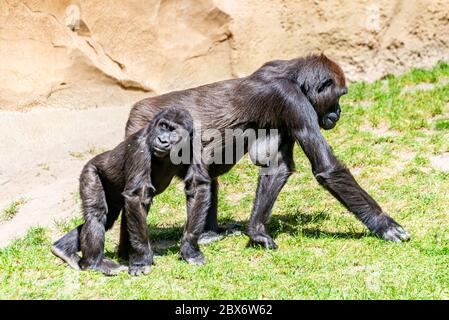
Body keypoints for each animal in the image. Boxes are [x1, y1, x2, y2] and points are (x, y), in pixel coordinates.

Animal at [51, 107, 196, 276]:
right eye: (163, 126)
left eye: (174, 131)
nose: (162, 140)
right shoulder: (139, 148)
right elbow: (137, 197)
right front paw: (142, 261)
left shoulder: (191, 146)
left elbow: (194, 187)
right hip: (90, 171)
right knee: (97, 215)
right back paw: (95, 263)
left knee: (111, 218)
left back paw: (63, 250)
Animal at [124, 54, 408, 262]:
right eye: (338, 96)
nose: (339, 112)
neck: (293, 76)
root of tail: (135, 112)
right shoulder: (292, 100)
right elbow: (327, 168)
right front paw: (384, 225)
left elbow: (277, 167)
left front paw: (256, 232)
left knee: (208, 176)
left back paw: (208, 234)